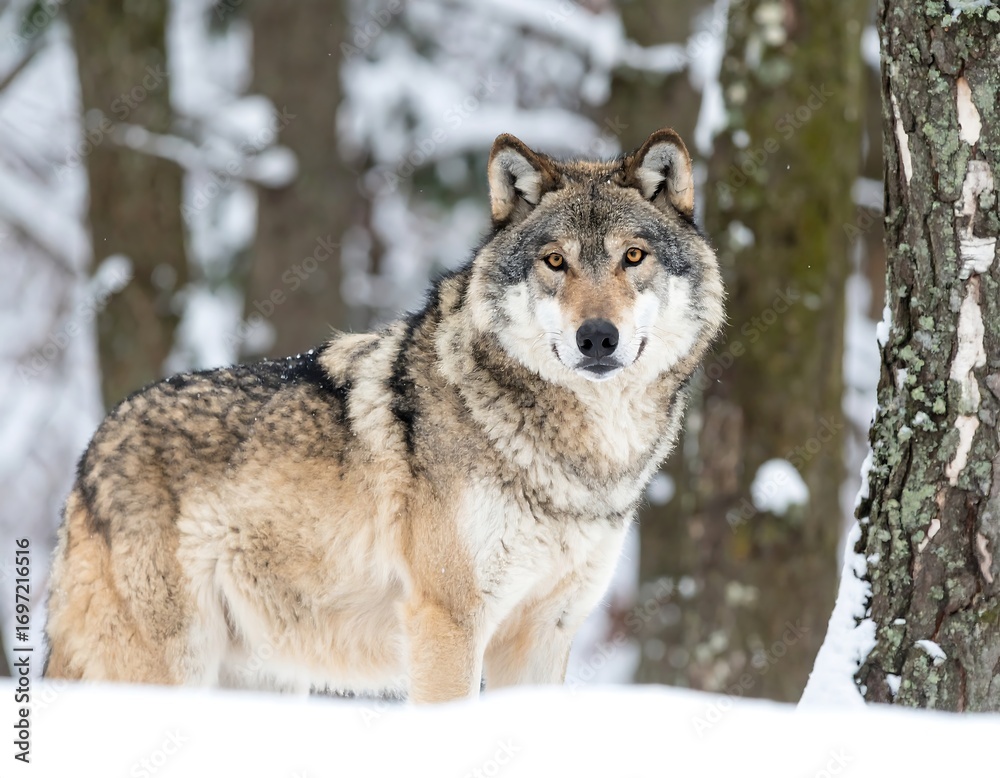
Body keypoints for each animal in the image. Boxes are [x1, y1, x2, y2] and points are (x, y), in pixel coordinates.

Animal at [44, 128, 725, 702]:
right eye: (555, 261)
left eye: (633, 257)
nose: (597, 338)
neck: (582, 458)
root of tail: (91, 450)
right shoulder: (448, 622)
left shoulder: (543, 633)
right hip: (161, 669)